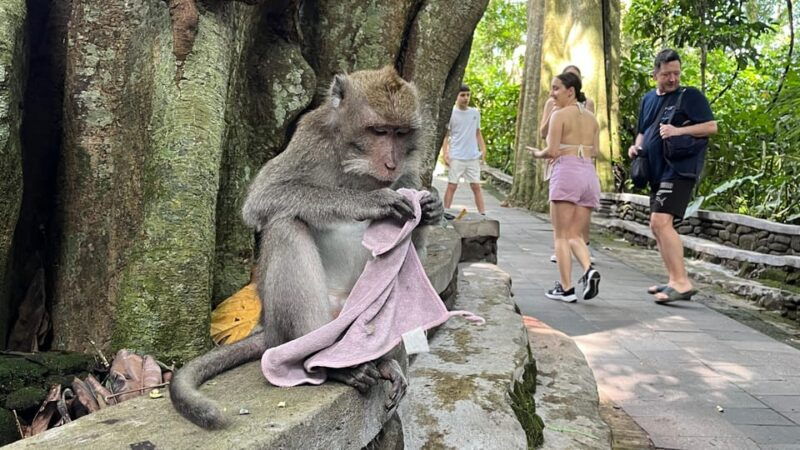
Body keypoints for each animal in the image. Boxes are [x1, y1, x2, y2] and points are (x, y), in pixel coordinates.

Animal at [169, 66, 443, 429]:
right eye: (379, 131)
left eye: (400, 134)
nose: (391, 164)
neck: (356, 168)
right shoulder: (310, 140)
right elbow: (264, 198)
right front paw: (370, 202)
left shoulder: (409, 172)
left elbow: (415, 236)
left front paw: (432, 208)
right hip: (300, 324)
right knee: (285, 225)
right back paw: (325, 364)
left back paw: (383, 362)